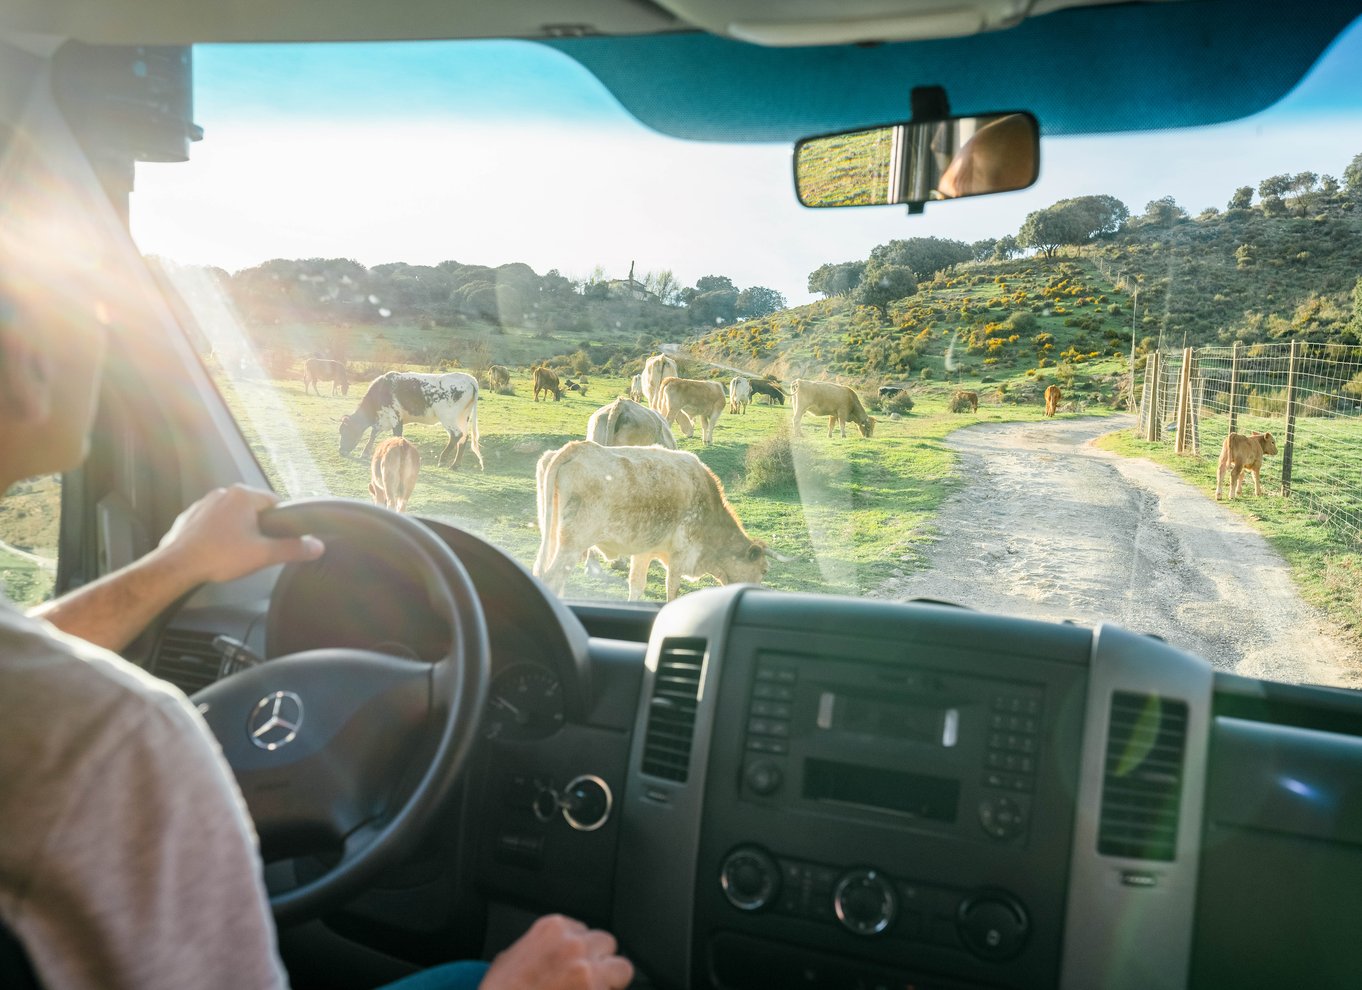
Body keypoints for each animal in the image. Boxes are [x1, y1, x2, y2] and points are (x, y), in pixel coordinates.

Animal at [339, 370, 484, 471]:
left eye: (345, 431)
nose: (341, 451)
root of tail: (469, 378)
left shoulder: (395, 417)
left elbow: (397, 436)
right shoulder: (383, 419)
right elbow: (373, 433)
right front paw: (365, 453)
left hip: (448, 417)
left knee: (456, 435)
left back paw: (442, 459)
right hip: (463, 417)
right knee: (464, 438)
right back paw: (455, 465)